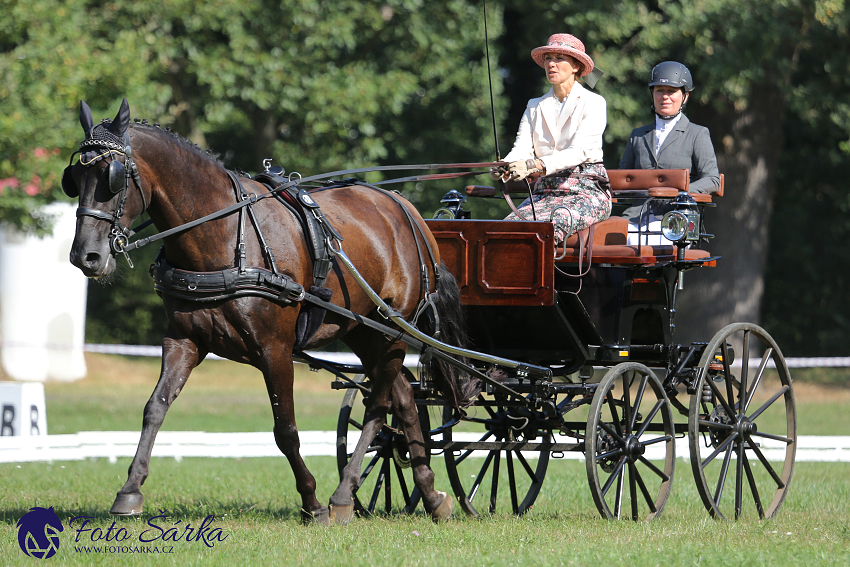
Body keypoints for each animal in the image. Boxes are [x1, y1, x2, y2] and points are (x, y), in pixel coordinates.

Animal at [64, 100, 464, 524]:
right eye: (74, 177)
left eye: (112, 176)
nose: (85, 256)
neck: (224, 236)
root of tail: (407, 210)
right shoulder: (183, 340)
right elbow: (154, 408)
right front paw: (130, 490)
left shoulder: (275, 350)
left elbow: (285, 429)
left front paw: (312, 503)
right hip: (366, 332)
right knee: (402, 398)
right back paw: (431, 495)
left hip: (391, 333)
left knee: (379, 403)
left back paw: (343, 496)